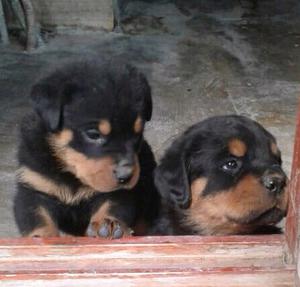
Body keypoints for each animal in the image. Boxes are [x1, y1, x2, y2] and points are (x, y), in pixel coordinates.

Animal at [14, 59, 159, 238]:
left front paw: (108, 224)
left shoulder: (119, 192)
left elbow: (112, 205)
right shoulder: (33, 185)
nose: (125, 175)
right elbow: (38, 217)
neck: (72, 175)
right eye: (93, 134)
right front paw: (41, 237)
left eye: (137, 134)